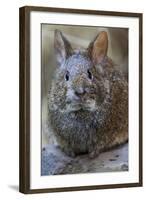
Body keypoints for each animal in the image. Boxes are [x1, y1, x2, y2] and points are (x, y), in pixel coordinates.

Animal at [48, 29, 128, 158]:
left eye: (90, 74)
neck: (81, 111)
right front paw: (70, 153)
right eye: (66, 76)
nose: (80, 92)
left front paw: (93, 153)